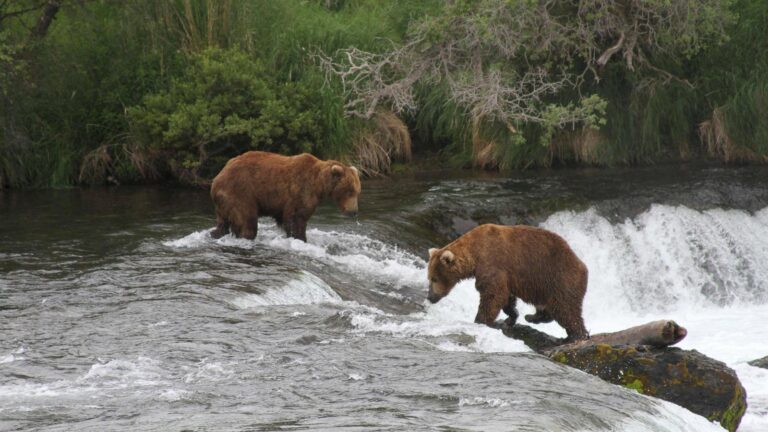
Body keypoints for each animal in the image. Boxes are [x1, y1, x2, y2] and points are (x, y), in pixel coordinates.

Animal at [209, 151, 361, 242]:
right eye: (349, 191)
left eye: (357, 191)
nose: (353, 211)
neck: (319, 184)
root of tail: (216, 179)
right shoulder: (301, 191)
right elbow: (296, 218)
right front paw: (300, 238)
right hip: (241, 192)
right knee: (247, 221)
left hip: (224, 203)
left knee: (223, 223)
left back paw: (215, 233)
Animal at [426, 224, 589, 341]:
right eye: (429, 278)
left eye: (434, 278)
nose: (430, 297)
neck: (475, 254)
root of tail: (583, 266)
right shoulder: (506, 275)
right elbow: (506, 297)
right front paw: (511, 317)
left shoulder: (492, 262)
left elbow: (493, 294)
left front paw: (480, 320)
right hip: (544, 287)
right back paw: (532, 317)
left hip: (559, 278)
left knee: (565, 309)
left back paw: (576, 336)